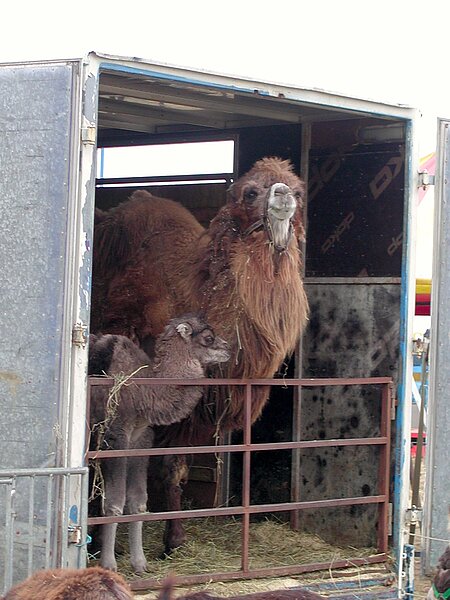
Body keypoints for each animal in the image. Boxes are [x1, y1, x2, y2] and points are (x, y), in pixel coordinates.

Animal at [89, 314, 229, 572]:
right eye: (208, 337)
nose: (228, 348)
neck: (146, 389)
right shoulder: (115, 436)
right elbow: (114, 503)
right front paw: (109, 565)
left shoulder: (141, 439)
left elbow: (138, 502)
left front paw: (140, 563)